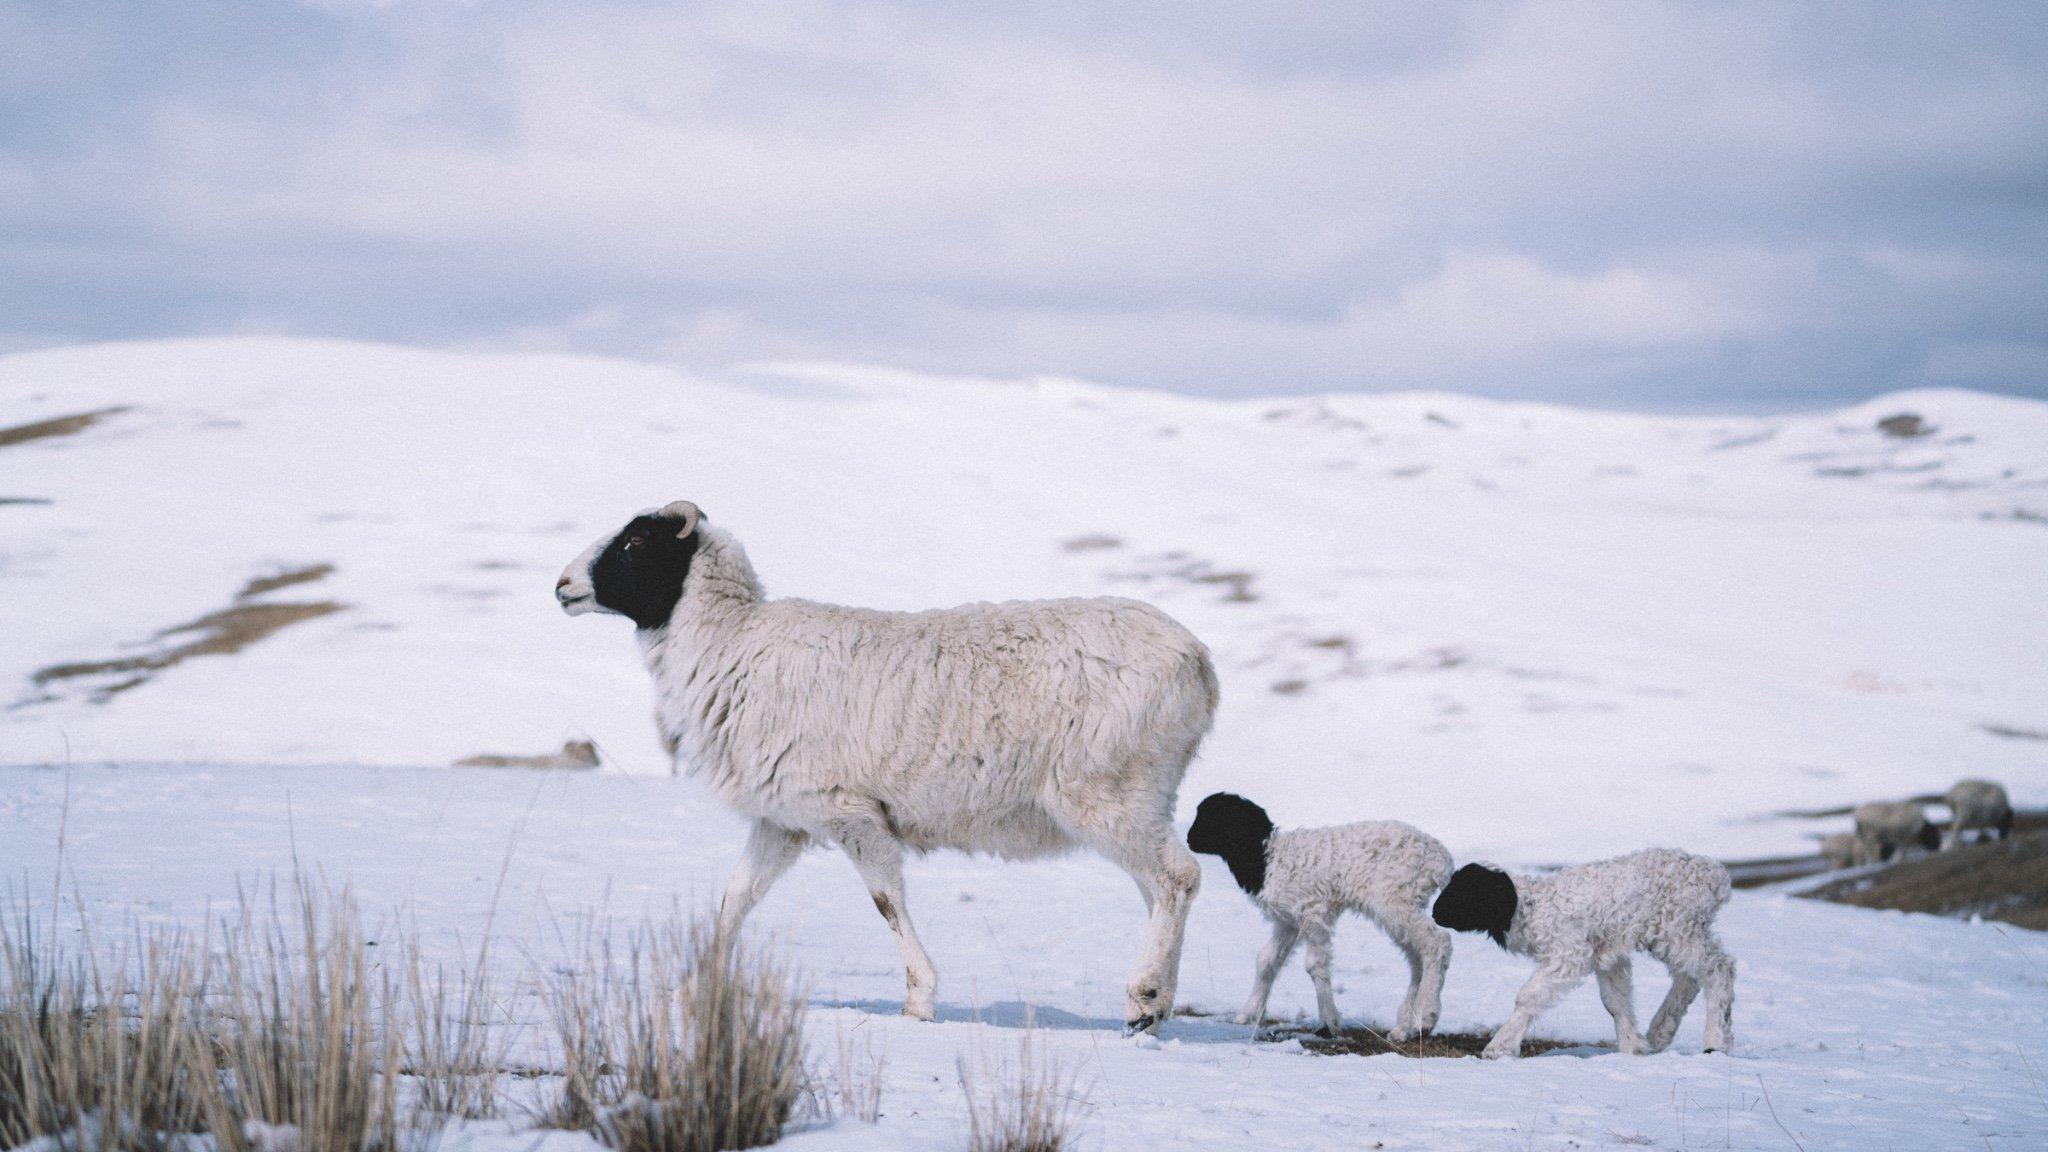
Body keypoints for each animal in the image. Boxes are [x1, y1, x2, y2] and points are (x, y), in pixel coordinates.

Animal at [552, 498, 1212, 1024]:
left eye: (636, 543)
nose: (561, 585)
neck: (730, 642)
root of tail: (1199, 661)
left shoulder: (851, 811)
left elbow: (886, 901)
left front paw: (920, 998)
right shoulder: (783, 820)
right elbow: (736, 898)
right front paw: (692, 989)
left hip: (1107, 791)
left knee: (1178, 877)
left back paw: (1144, 996)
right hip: (1140, 798)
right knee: (1159, 890)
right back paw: (1160, 1002)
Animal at [1187, 787, 1458, 1041]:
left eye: (1213, 816)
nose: (1189, 839)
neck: (1266, 858)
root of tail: (1442, 861)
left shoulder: (1314, 911)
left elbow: (1314, 964)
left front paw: (1328, 1023)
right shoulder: (1288, 922)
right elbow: (1267, 960)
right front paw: (1248, 1013)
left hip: (1395, 899)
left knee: (1437, 941)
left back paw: (1426, 1018)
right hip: (1403, 905)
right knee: (1418, 957)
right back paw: (1405, 1028)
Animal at [1433, 844, 1736, 1057]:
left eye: (1466, 892)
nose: (1435, 914)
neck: (1530, 908)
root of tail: (1715, 876)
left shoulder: (1570, 953)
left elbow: (1528, 997)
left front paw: (1499, 1047)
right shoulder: (1607, 956)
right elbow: (1616, 1001)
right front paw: (1632, 1047)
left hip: (1678, 929)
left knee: (1719, 968)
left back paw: (1715, 1042)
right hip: (1678, 934)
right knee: (1690, 978)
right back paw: (1660, 1032)